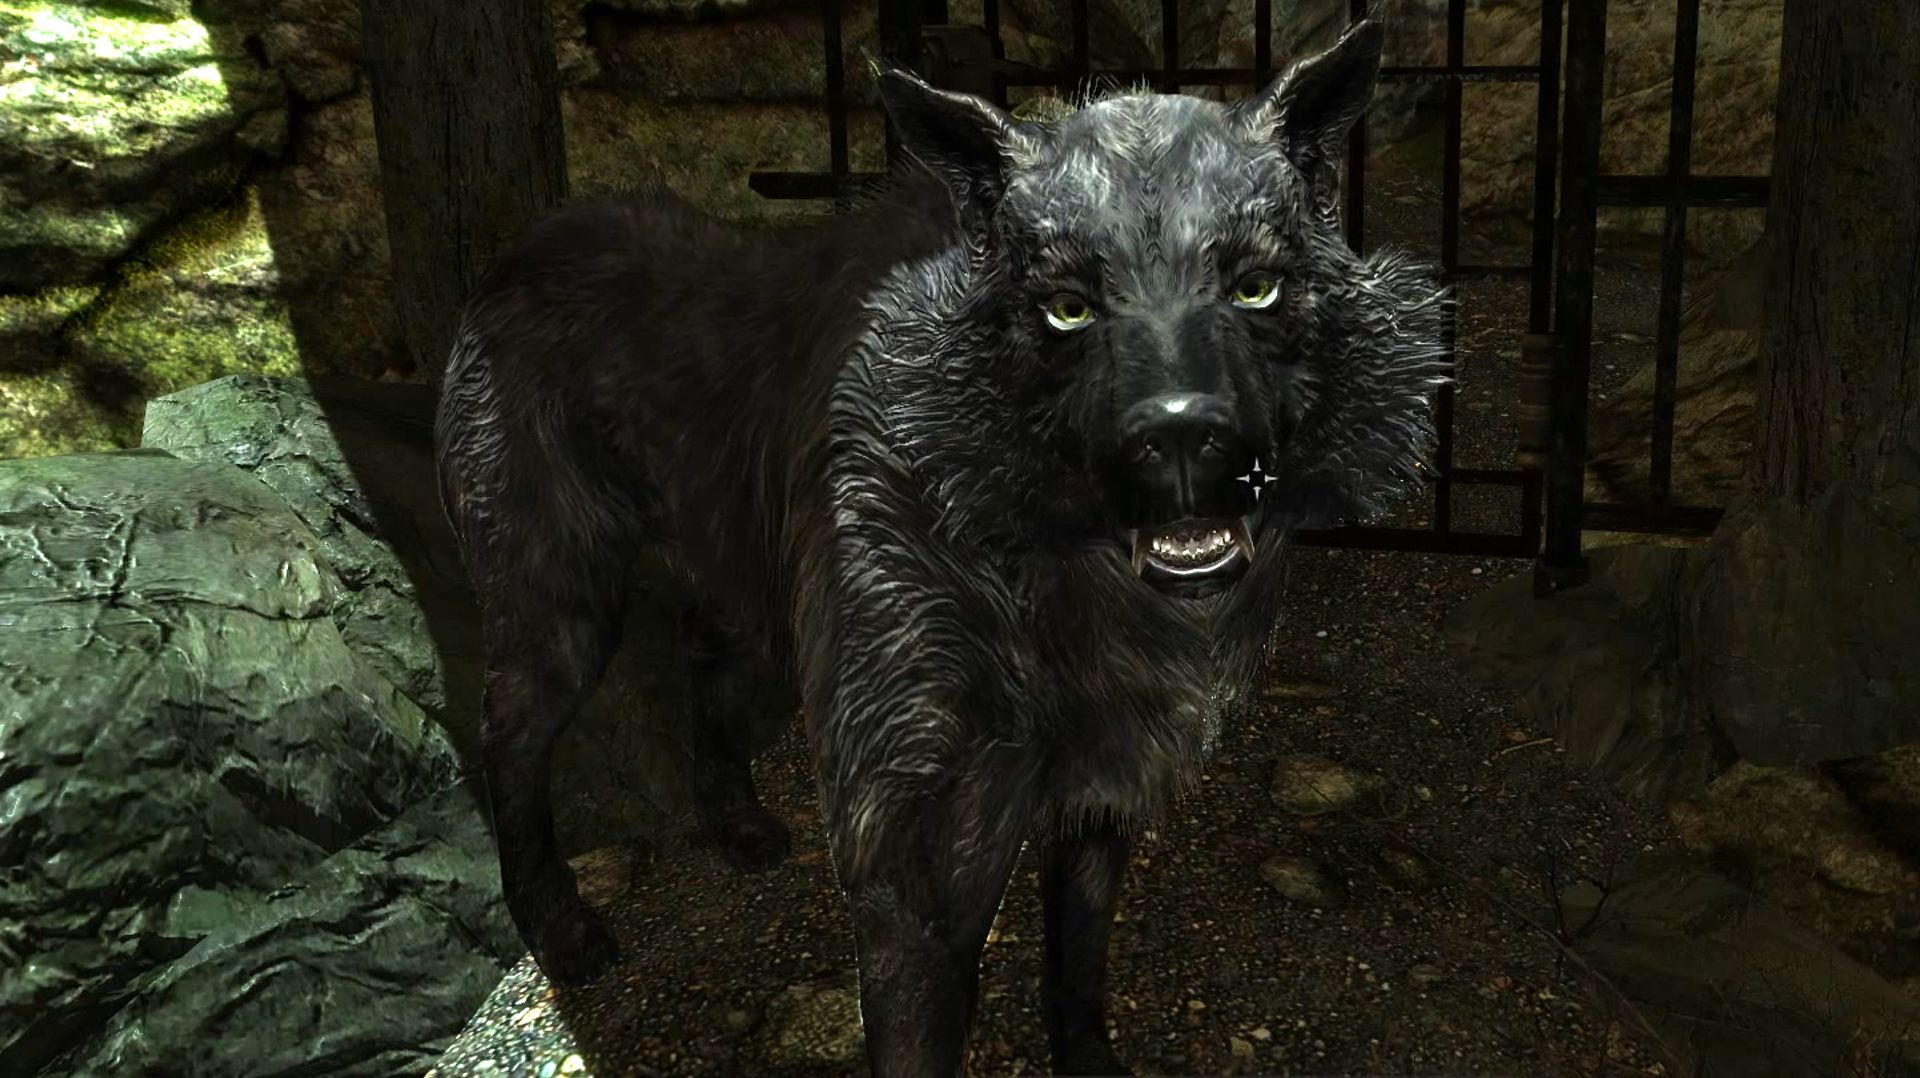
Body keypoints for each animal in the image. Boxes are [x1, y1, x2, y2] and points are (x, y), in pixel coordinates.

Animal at [434, 18, 1447, 1076]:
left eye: (1254, 287)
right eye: (1068, 307)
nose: (1179, 437)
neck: (1050, 577)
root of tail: (517, 254)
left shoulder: (1100, 796)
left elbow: (1077, 968)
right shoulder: (913, 872)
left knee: (702, 659)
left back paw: (740, 826)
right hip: (563, 611)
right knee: (509, 736)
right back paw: (558, 927)